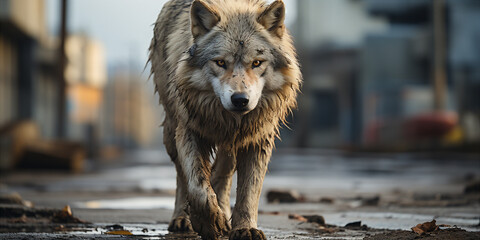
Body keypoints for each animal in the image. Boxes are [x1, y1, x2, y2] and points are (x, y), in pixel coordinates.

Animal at [149, 0, 300, 238]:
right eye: (220, 62)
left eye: (257, 63)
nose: (240, 100)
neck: (230, 120)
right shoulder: (189, 131)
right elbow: (197, 185)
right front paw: (208, 222)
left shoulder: (258, 138)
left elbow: (249, 191)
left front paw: (245, 228)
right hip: (171, 131)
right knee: (182, 175)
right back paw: (182, 219)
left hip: (231, 145)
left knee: (223, 173)